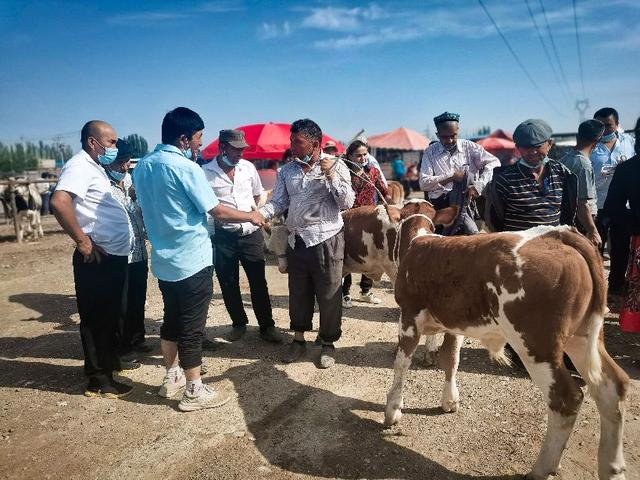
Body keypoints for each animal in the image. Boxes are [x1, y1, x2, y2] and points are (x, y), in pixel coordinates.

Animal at [384, 200, 632, 480]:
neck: (419, 241)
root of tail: (559, 235)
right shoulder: (454, 324)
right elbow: (451, 360)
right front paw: (449, 400)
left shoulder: (409, 317)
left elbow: (401, 364)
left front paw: (393, 410)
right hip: (583, 336)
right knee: (612, 388)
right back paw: (611, 468)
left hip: (536, 344)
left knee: (566, 398)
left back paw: (541, 468)